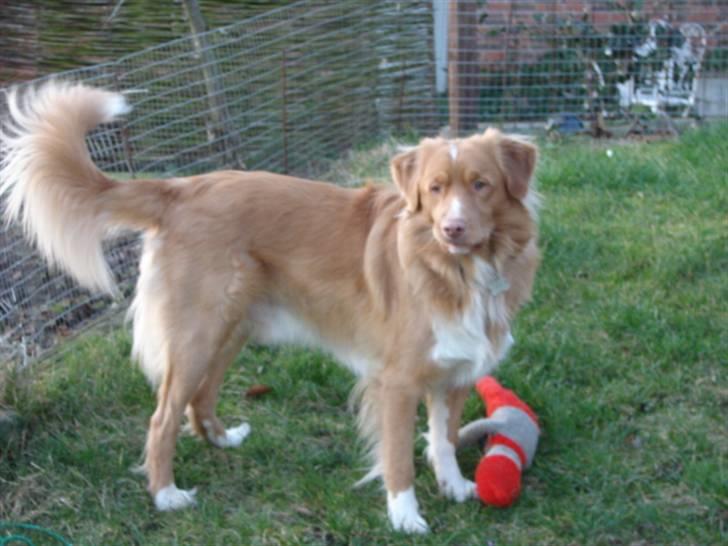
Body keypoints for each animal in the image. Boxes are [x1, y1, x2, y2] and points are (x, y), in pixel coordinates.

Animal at [1, 81, 540, 532]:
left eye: (481, 184)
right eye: (434, 188)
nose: (453, 228)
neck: (457, 268)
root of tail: (181, 188)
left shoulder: (454, 372)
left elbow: (444, 438)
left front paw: (454, 486)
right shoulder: (398, 381)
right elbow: (400, 458)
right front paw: (406, 518)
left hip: (230, 328)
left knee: (200, 399)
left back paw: (223, 441)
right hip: (196, 334)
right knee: (163, 417)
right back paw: (166, 495)